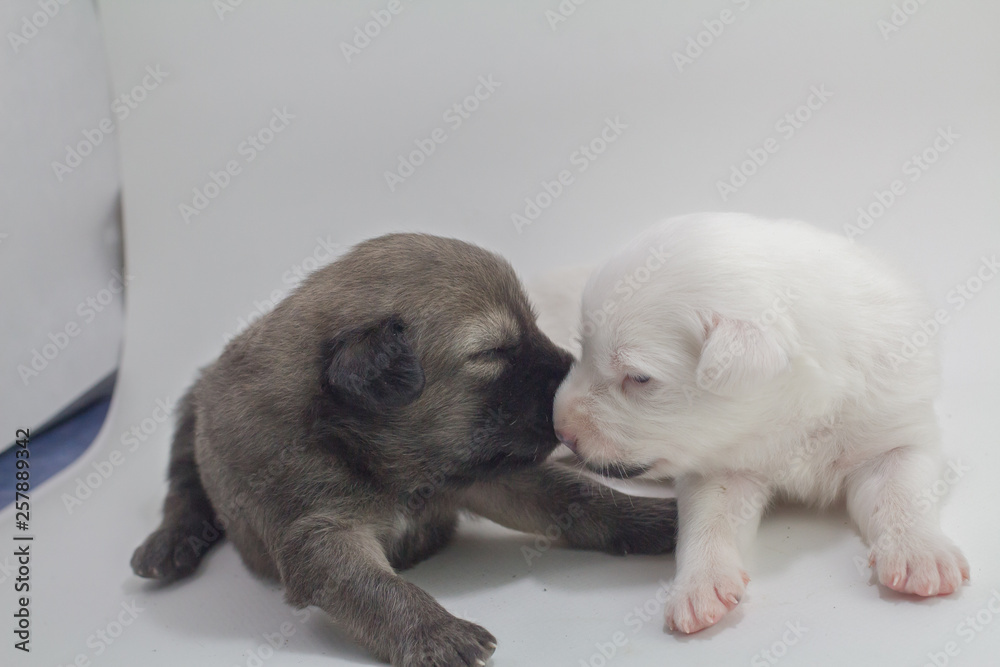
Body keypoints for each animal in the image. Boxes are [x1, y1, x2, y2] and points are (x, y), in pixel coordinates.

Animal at [131, 235, 680, 667]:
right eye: (491, 353)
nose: (572, 387)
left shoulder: (492, 473)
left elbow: (584, 499)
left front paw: (659, 521)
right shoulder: (318, 530)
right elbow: (376, 589)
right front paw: (436, 632)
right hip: (189, 419)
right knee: (183, 488)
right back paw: (167, 546)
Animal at [556, 211, 968, 636]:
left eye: (638, 378)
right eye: (581, 348)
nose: (560, 430)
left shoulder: (895, 434)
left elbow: (902, 492)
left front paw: (920, 551)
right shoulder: (717, 470)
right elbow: (708, 520)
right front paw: (699, 584)